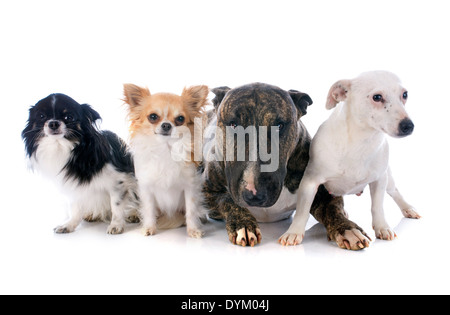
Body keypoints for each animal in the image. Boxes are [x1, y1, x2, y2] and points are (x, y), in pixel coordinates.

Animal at [22, 94, 139, 235]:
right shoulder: (73, 186)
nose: (53, 123)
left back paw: (134, 214)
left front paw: (116, 225)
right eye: (41, 116)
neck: (61, 147)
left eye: (69, 117)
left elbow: (116, 205)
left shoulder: (118, 182)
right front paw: (69, 225)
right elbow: (75, 208)